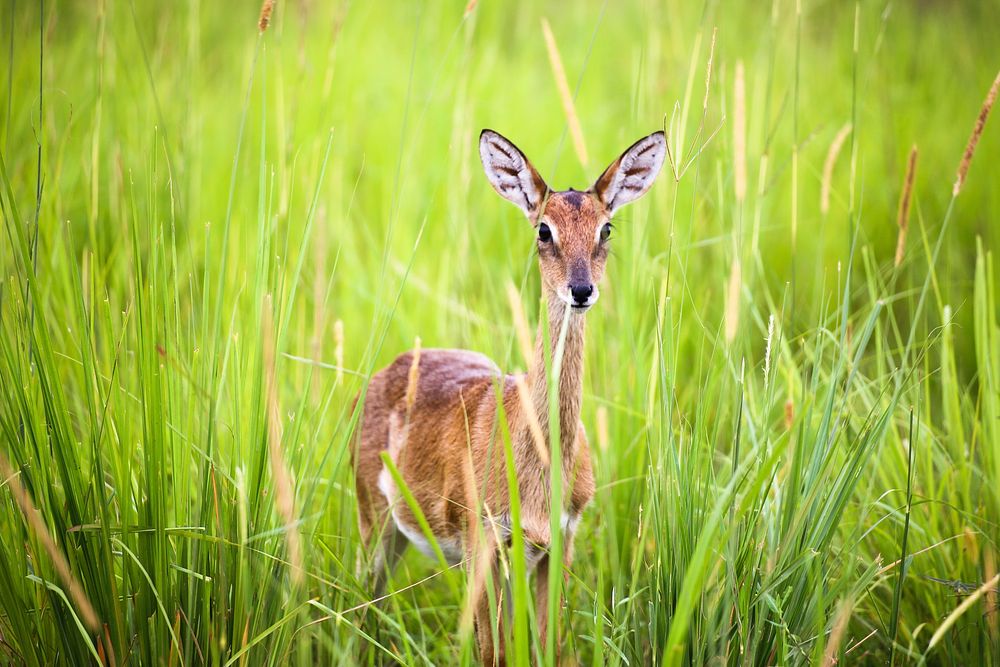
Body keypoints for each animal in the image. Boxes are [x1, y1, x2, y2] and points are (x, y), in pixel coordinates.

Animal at [352, 126, 664, 664]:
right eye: (544, 230)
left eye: (606, 229)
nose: (581, 290)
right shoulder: (484, 542)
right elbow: (493, 651)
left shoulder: (558, 542)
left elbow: (546, 645)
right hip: (374, 519)